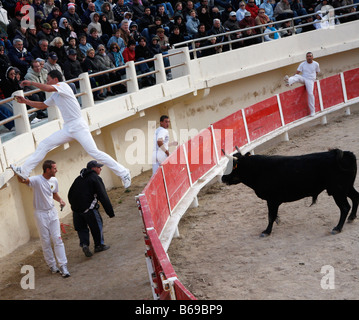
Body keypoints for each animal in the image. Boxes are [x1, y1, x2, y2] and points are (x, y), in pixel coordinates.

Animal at [222, 149, 359, 236]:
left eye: (231, 166)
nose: (222, 178)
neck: (258, 169)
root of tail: (345, 154)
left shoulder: (271, 200)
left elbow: (270, 215)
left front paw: (266, 231)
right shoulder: (273, 201)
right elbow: (273, 215)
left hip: (338, 191)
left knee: (345, 207)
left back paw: (337, 228)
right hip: (346, 187)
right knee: (356, 197)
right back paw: (352, 218)